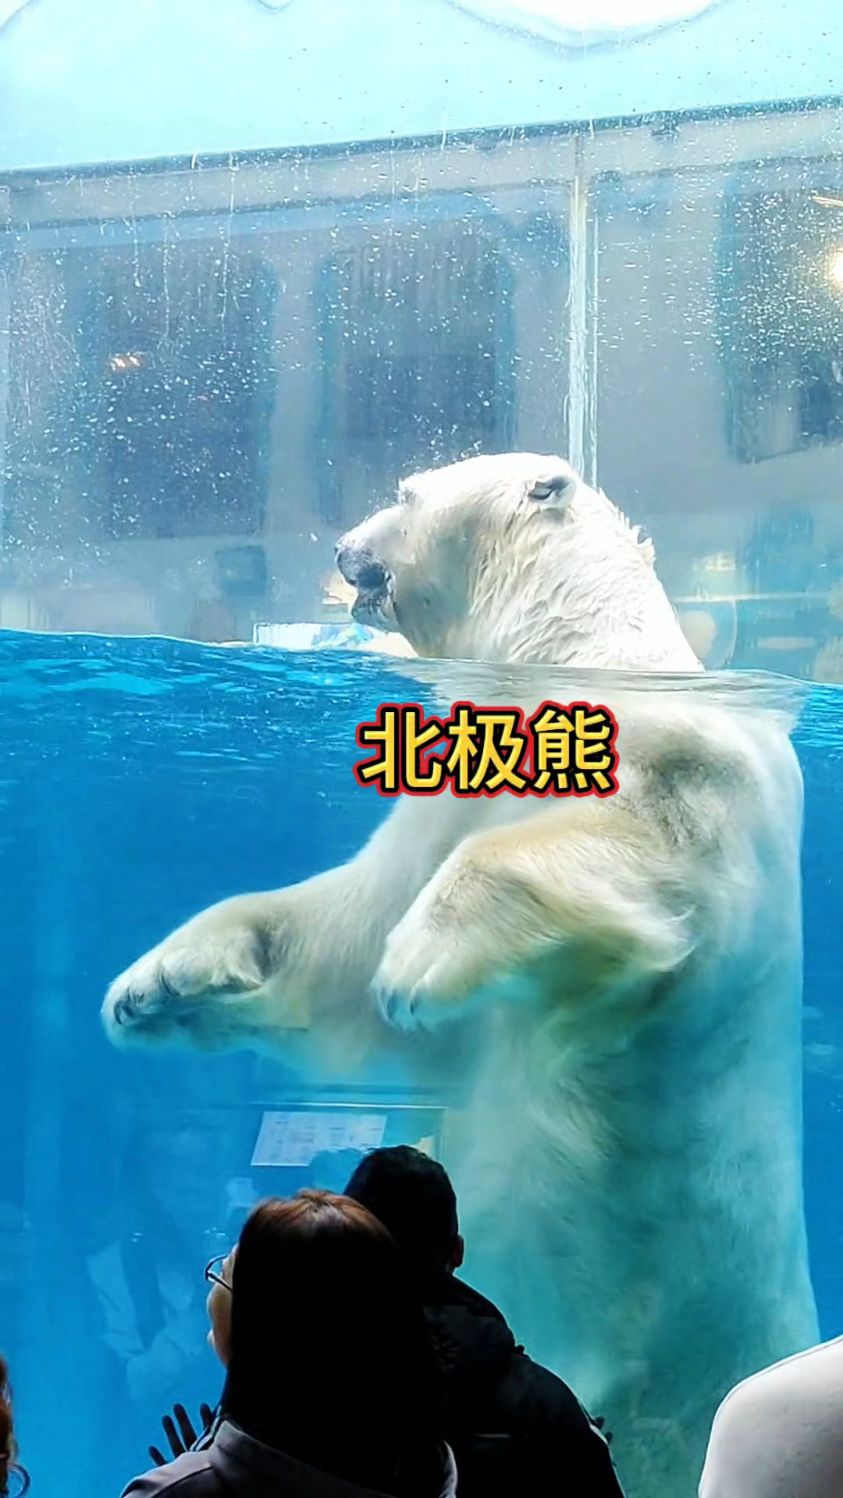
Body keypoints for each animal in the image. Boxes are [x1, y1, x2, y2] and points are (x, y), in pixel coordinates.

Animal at [102, 452, 817, 1497]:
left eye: (403, 492)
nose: (340, 549)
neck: (571, 651)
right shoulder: (437, 806)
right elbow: (343, 929)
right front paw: (158, 984)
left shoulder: (689, 770)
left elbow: (635, 858)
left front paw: (417, 962)